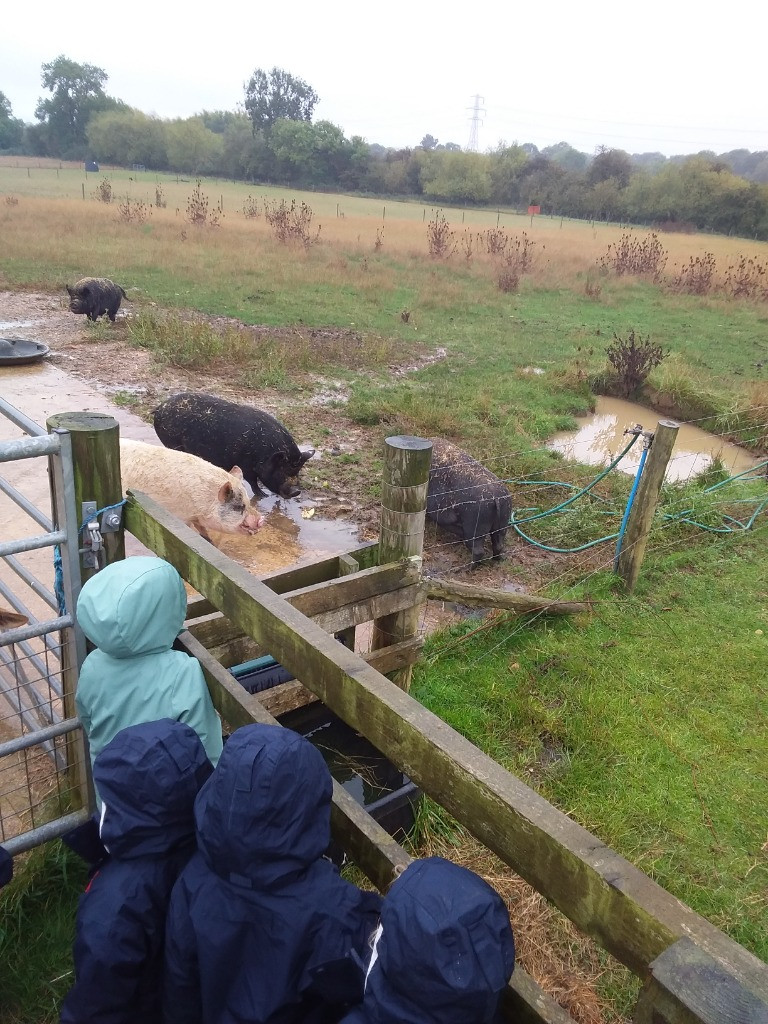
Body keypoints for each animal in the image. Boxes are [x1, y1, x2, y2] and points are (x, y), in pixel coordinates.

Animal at [153, 391, 313, 499]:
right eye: (282, 470)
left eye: (297, 471)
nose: (296, 491)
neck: (264, 454)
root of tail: (159, 408)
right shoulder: (246, 465)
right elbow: (253, 482)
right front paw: (263, 495)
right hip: (171, 441)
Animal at [430, 438, 514, 569]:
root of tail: (496, 496)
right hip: (504, 519)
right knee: (498, 544)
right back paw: (498, 560)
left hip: (475, 522)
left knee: (478, 549)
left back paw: (464, 569)